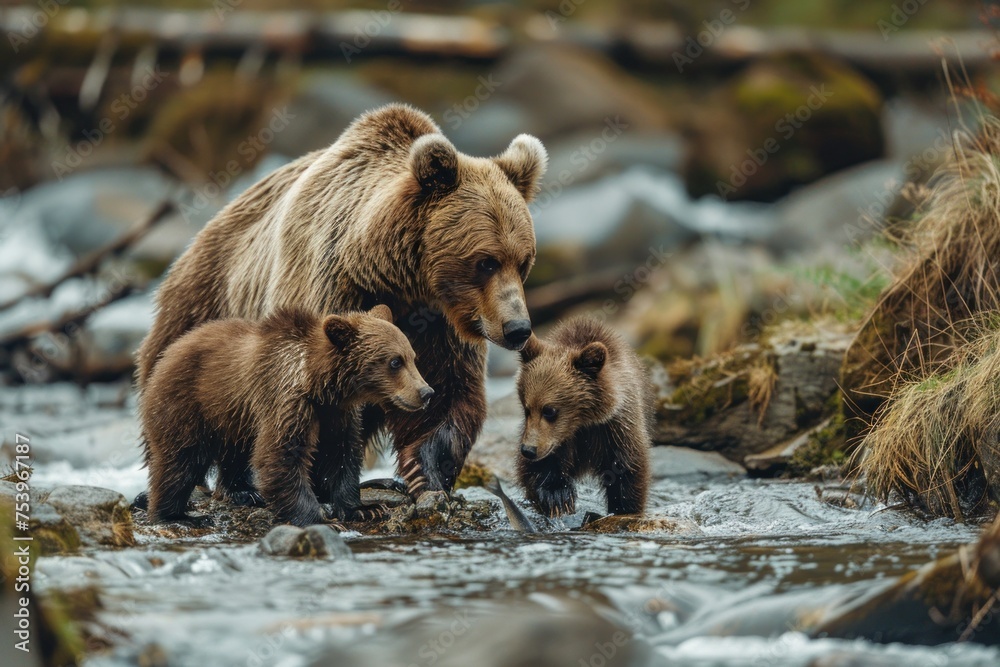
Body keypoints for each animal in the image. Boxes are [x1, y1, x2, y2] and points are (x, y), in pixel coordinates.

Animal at [136, 104, 547, 498]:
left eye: (523, 261)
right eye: (486, 261)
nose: (517, 329)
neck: (400, 278)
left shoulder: (440, 323)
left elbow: (447, 392)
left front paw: (424, 472)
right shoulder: (334, 290)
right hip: (205, 301)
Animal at [141, 305, 434, 526]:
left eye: (412, 357)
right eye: (395, 362)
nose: (426, 392)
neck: (319, 383)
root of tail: (167, 353)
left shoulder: (336, 413)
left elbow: (342, 454)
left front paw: (363, 509)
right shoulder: (287, 398)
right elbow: (280, 455)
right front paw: (321, 520)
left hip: (233, 416)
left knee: (235, 452)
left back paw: (244, 492)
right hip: (188, 403)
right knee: (180, 460)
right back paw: (176, 515)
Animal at [515, 316, 653, 518]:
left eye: (550, 410)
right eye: (527, 408)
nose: (528, 450)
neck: (582, 423)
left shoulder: (616, 427)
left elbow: (627, 469)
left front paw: (623, 509)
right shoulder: (555, 439)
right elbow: (533, 470)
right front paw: (557, 497)